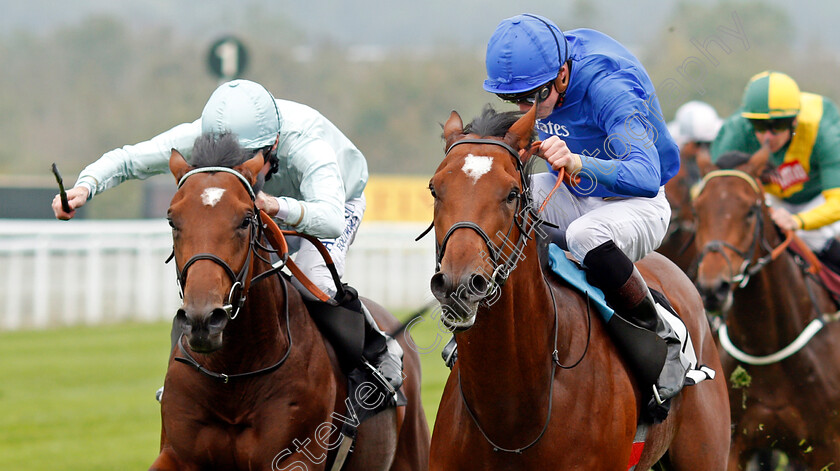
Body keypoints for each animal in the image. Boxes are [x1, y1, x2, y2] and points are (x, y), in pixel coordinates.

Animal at [147, 133, 430, 471]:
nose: (203, 320)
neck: (232, 375)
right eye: (172, 220)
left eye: (246, 219)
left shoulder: (293, 457)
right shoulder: (177, 453)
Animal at [692, 149, 840, 470]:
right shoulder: (733, 444)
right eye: (697, 211)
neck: (767, 346)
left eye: (750, 211)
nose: (713, 288)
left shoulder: (829, 449)